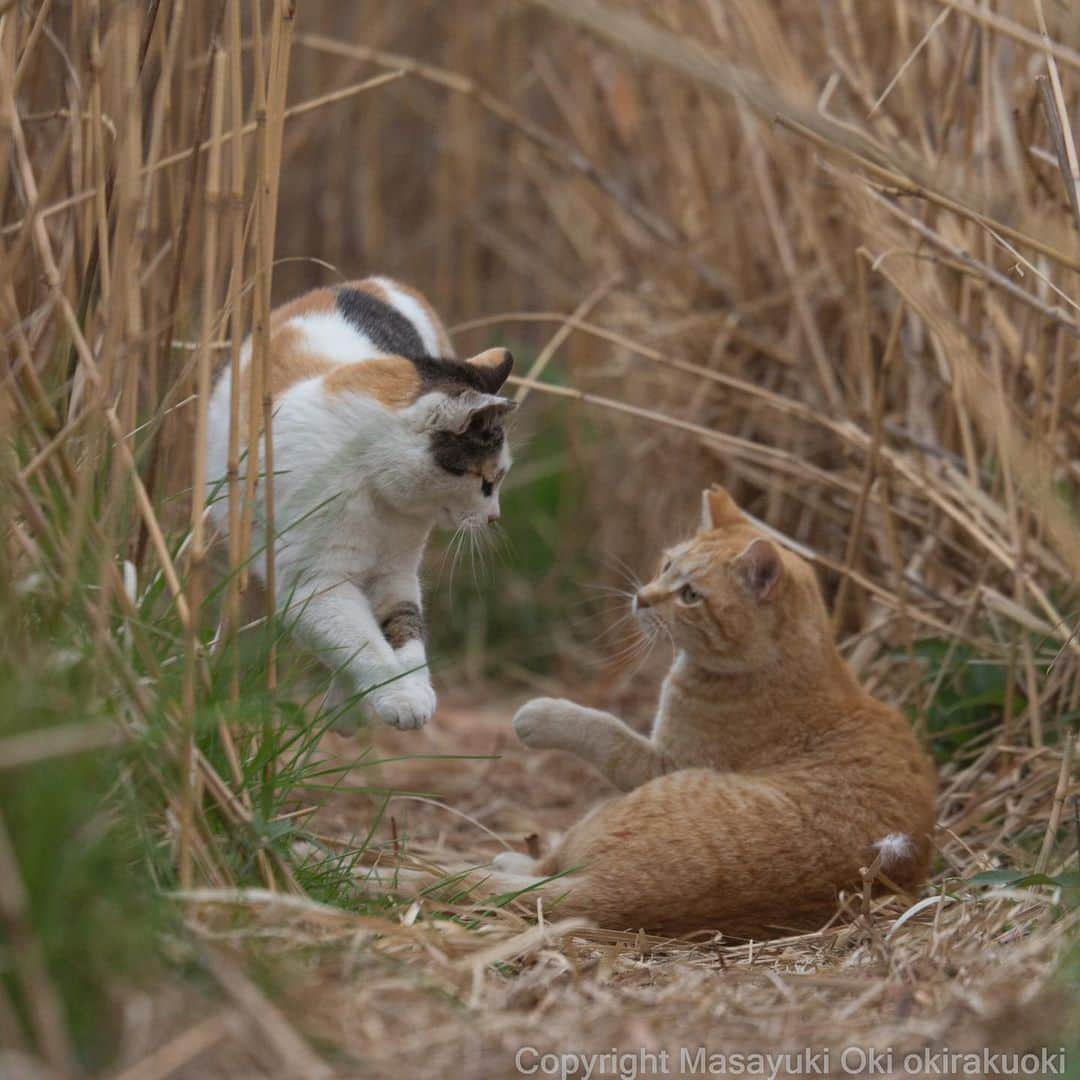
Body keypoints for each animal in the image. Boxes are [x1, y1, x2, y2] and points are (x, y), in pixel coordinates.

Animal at [208, 274, 520, 730]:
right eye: (486, 480)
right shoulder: (312, 584)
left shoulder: (396, 572)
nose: (495, 517)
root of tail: (377, 282)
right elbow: (363, 643)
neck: (372, 483)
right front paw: (399, 697)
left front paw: (410, 692)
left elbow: (404, 627)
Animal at [494, 488, 933, 937]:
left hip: (610, 809)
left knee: (547, 871)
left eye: (690, 595)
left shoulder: (660, 762)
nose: (642, 597)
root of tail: (611, 891)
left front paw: (540, 715)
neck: (783, 663)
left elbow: (605, 730)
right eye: (666, 565)